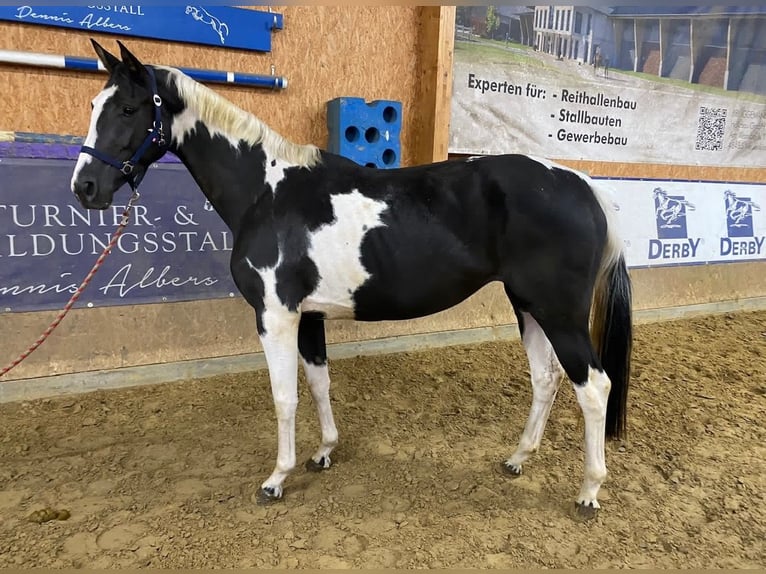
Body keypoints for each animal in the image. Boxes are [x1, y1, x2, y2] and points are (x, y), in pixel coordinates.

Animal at [70, 40, 633, 519]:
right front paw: (323, 452)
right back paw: (517, 459)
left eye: (128, 109)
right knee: (546, 378)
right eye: (95, 104)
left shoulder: (275, 315)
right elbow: (318, 383)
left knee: (593, 387)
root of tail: (583, 185)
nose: (86, 187)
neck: (267, 193)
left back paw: (588, 492)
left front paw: (276, 479)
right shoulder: (309, 316)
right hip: (527, 305)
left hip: (560, 314)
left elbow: (284, 397)